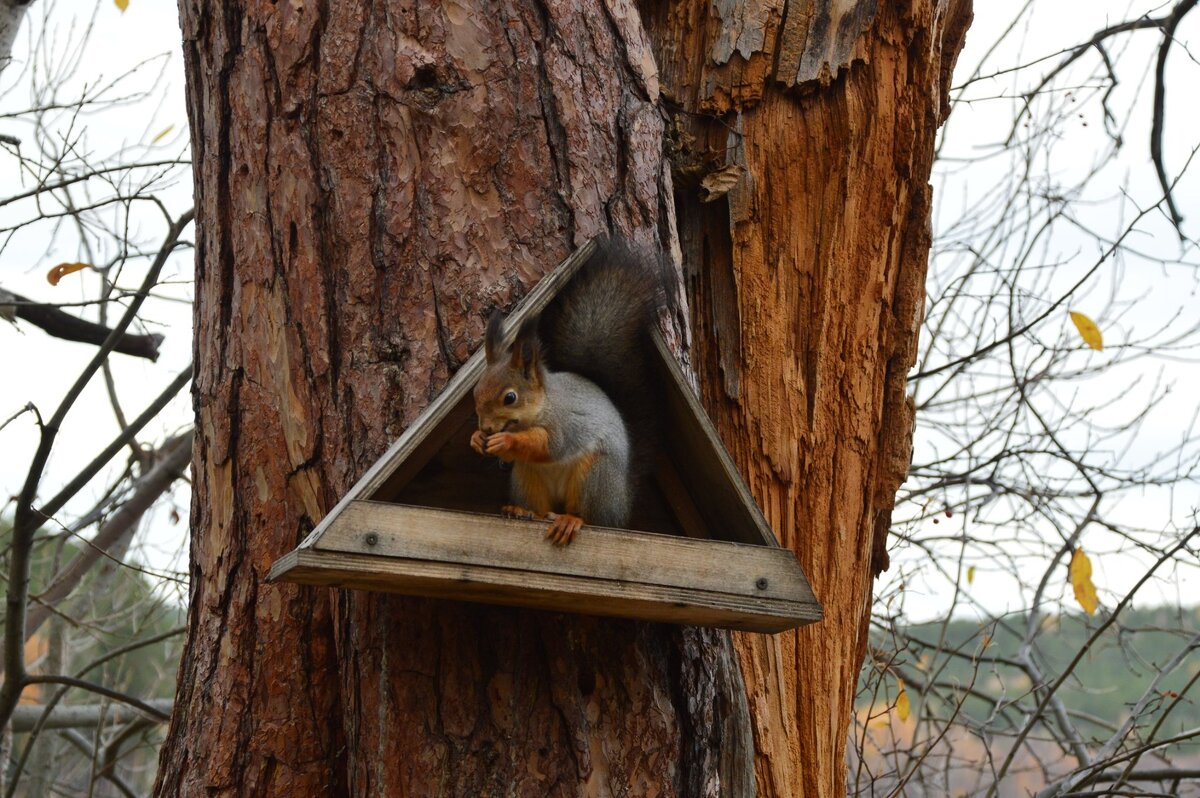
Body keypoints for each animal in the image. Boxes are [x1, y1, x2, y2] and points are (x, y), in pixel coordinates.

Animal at [470, 236, 676, 544]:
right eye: (475, 392)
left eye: (510, 398)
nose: (486, 428)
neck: (542, 406)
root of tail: (622, 504)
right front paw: (476, 439)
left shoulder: (565, 424)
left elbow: (548, 445)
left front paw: (506, 440)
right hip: (527, 477)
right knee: (539, 507)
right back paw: (521, 510)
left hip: (595, 477)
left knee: (591, 518)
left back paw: (571, 520)